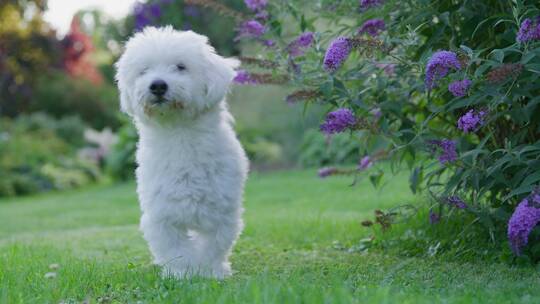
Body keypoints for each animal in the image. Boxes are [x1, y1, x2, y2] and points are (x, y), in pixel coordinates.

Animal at [115, 27, 249, 280]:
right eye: (144, 71)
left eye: (180, 67)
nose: (157, 85)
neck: (180, 133)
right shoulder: (162, 216)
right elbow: (175, 250)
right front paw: (181, 274)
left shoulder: (222, 213)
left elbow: (213, 246)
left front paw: (211, 272)